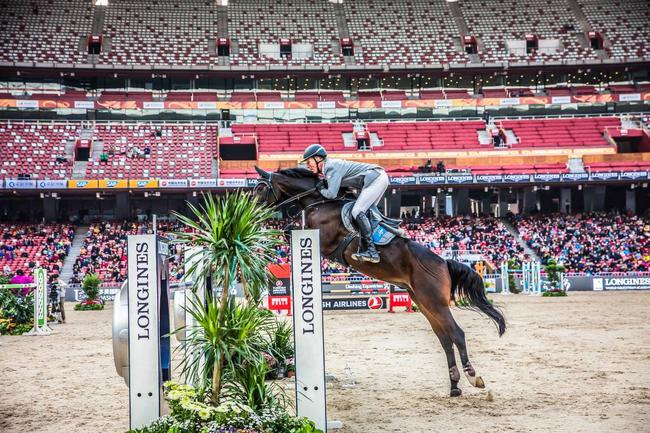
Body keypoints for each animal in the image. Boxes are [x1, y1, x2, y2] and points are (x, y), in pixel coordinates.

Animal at [253, 167, 506, 396]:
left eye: (260, 189)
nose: (252, 214)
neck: (320, 202)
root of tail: (444, 262)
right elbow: (287, 230)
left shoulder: (323, 240)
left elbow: (287, 230)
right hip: (425, 303)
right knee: (445, 339)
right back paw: (454, 387)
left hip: (436, 303)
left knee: (457, 334)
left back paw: (474, 378)